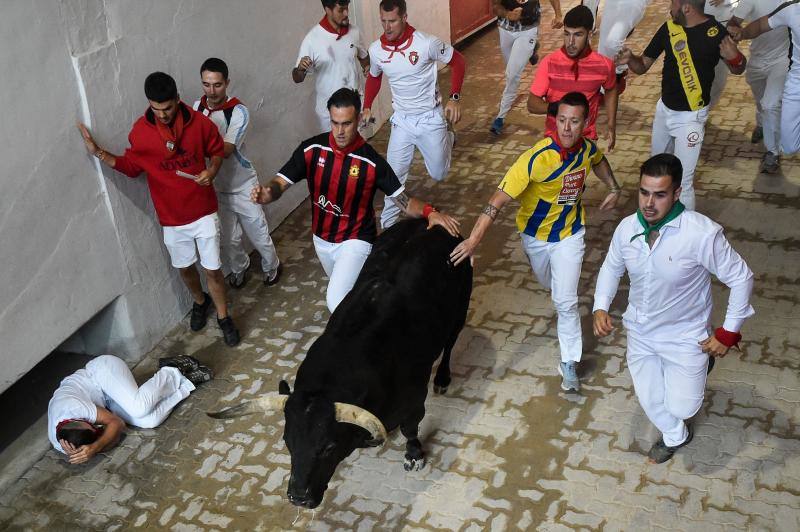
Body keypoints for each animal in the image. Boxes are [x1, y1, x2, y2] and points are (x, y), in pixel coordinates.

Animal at [208, 218, 476, 510]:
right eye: (288, 441)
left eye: (328, 446)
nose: (298, 497)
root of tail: (433, 224)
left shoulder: (414, 400)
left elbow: (410, 428)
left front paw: (414, 455)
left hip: (461, 308)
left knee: (451, 343)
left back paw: (442, 379)